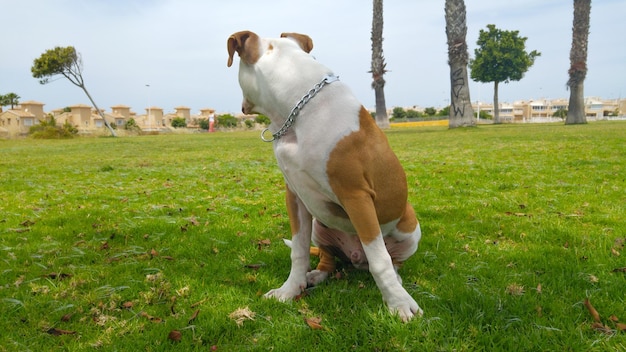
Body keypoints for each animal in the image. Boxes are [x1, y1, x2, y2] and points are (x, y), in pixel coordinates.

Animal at [227, 31, 422, 322]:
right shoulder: (295, 196)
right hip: (321, 227)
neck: (297, 110)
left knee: (391, 259)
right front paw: (289, 290)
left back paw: (397, 280)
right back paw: (316, 275)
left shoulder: (356, 196)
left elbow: (381, 261)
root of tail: (355, 258)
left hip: (410, 228)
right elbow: (298, 251)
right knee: (327, 259)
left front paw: (399, 304)